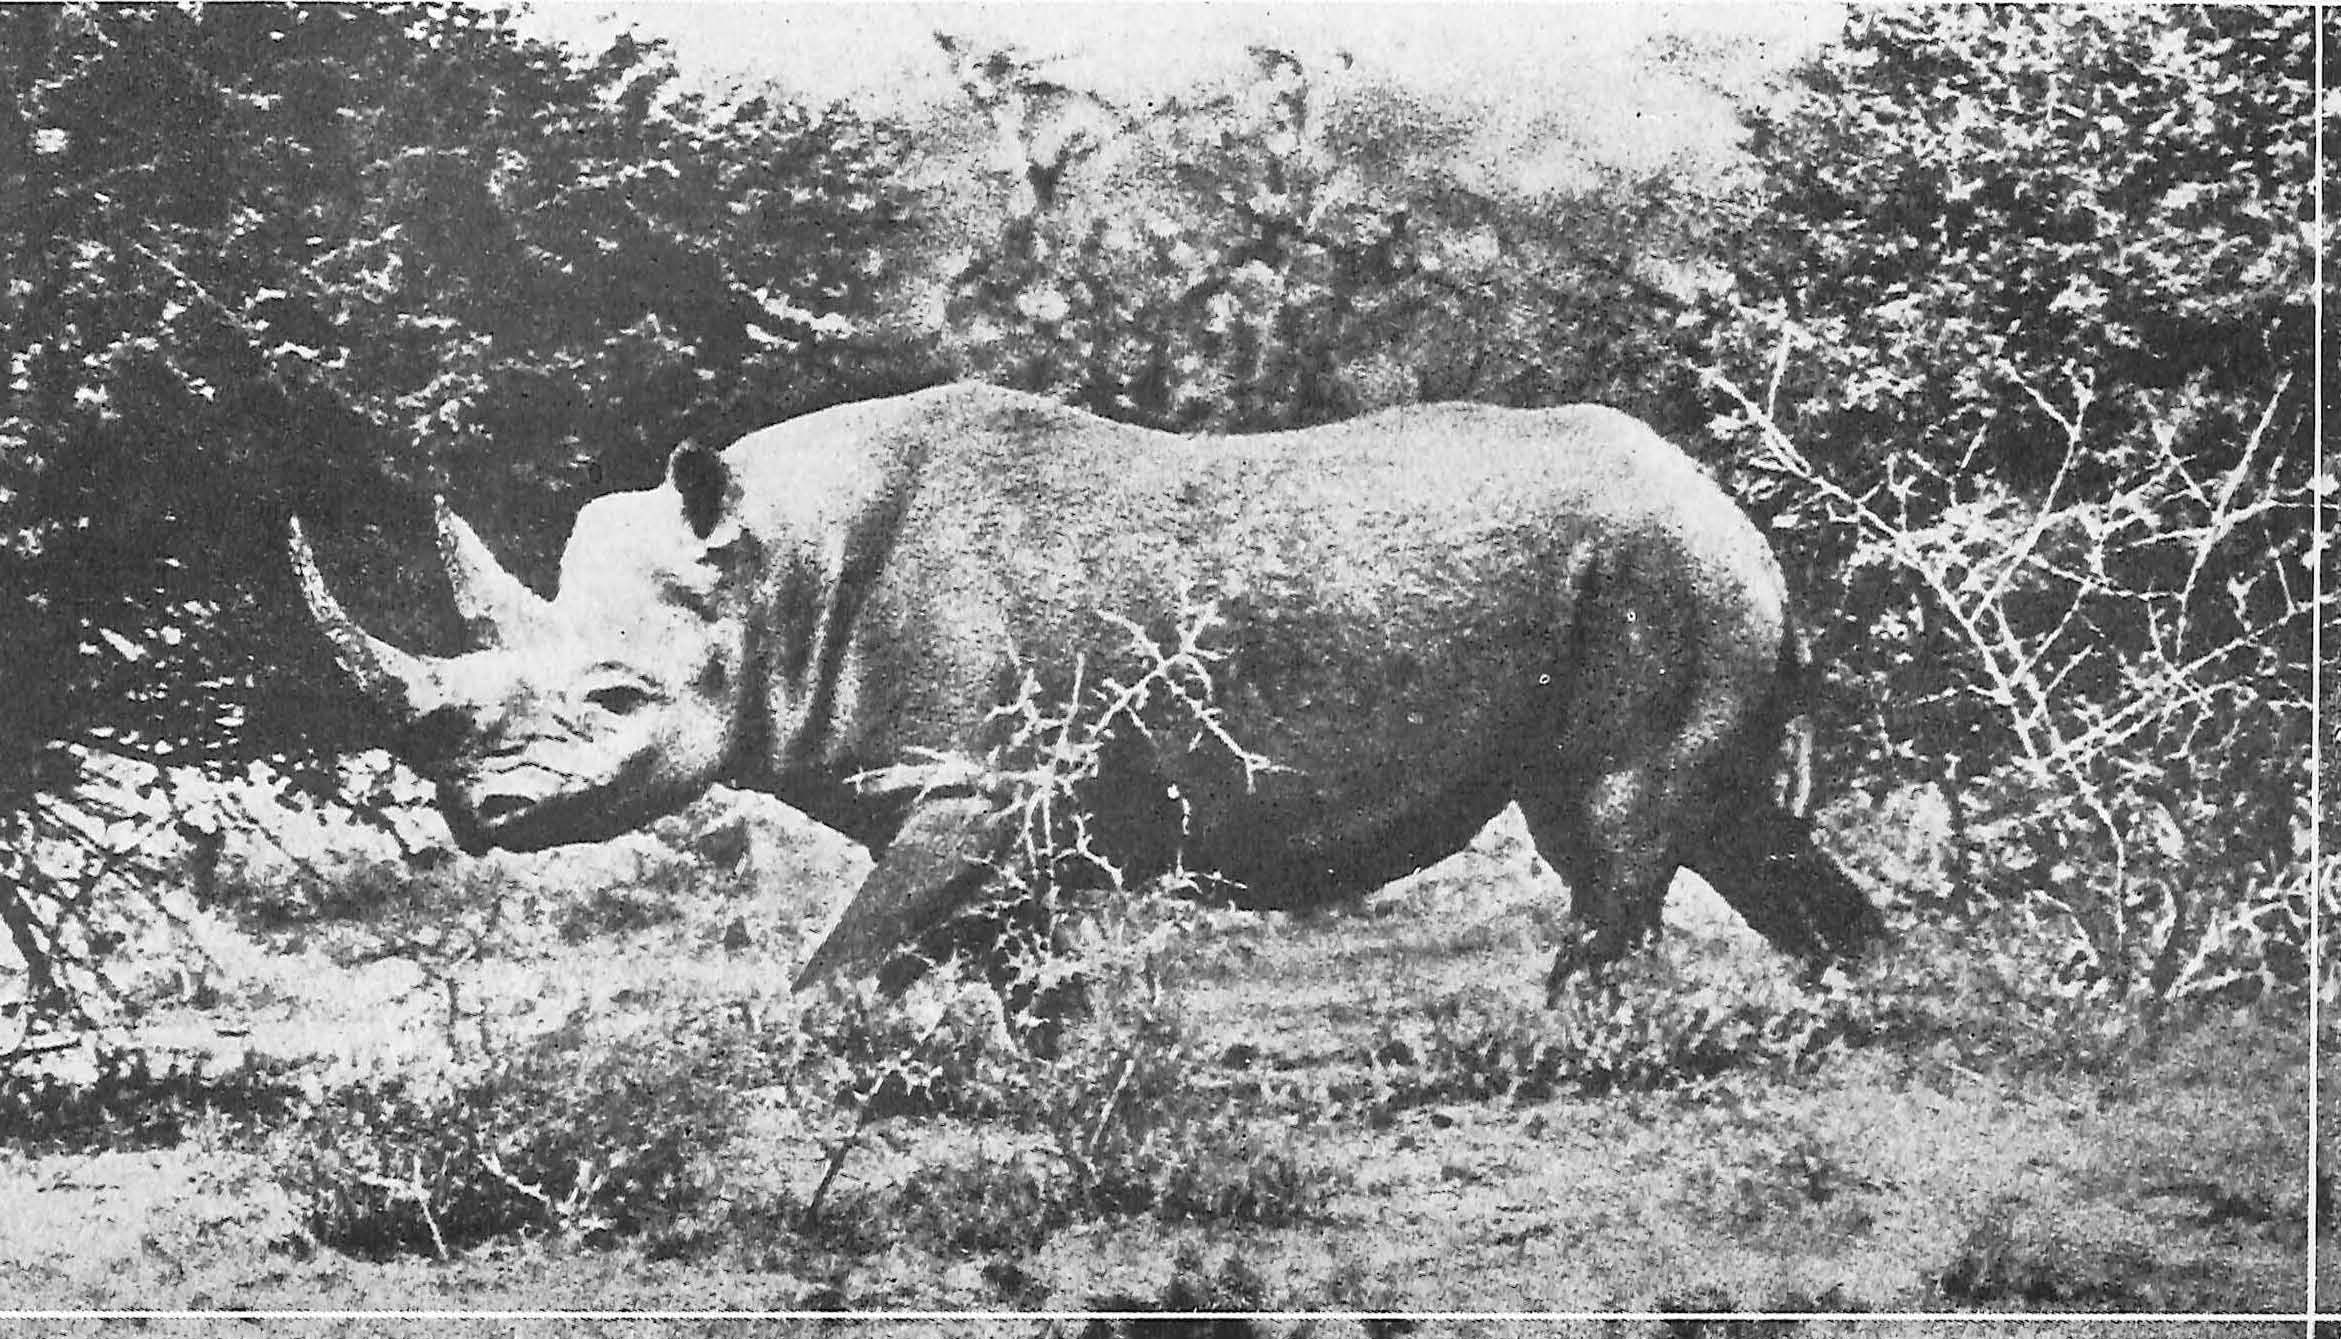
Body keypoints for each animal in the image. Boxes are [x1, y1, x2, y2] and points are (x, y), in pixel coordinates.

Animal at [291, 383, 1882, 1003]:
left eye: (621, 698)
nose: (478, 808)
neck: (772, 564)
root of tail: (1732, 504)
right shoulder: (985, 804)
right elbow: (1017, 975)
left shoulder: (980, 781)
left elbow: (844, 964)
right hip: (1675, 565)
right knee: (1729, 824)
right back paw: (1872, 1001)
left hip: (1662, 565)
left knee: (1614, 823)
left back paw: (1555, 1043)